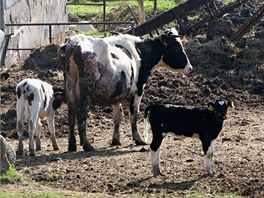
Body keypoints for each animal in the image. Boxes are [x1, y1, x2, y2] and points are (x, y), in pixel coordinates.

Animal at [57, 28, 193, 152]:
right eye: (177, 48)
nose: (190, 68)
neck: (140, 51)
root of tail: (73, 43)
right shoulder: (138, 90)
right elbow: (134, 115)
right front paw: (138, 139)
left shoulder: (117, 91)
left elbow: (118, 116)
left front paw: (116, 140)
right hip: (85, 90)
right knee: (81, 115)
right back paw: (87, 144)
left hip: (69, 88)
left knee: (71, 116)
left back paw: (72, 145)